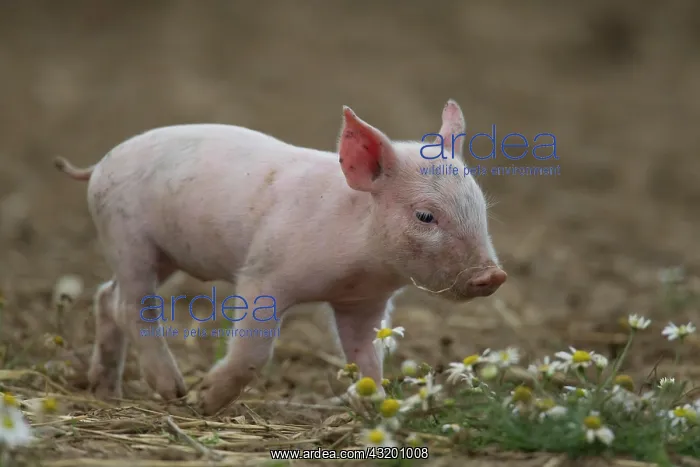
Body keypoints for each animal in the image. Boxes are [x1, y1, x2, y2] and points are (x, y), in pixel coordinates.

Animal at [54, 99, 506, 415]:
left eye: (481, 207)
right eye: (425, 216)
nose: (494, 276)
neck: (360, 266)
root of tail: (99, 165)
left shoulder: (363, 302)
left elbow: (367, 357)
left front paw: (375, 405)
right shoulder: (263, 275)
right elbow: (255, 349)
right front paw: (203, 402)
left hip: (161, 254)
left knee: (105, 296)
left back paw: (106, 392)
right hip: (127, 237)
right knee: (131, 305)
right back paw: (173, 391)